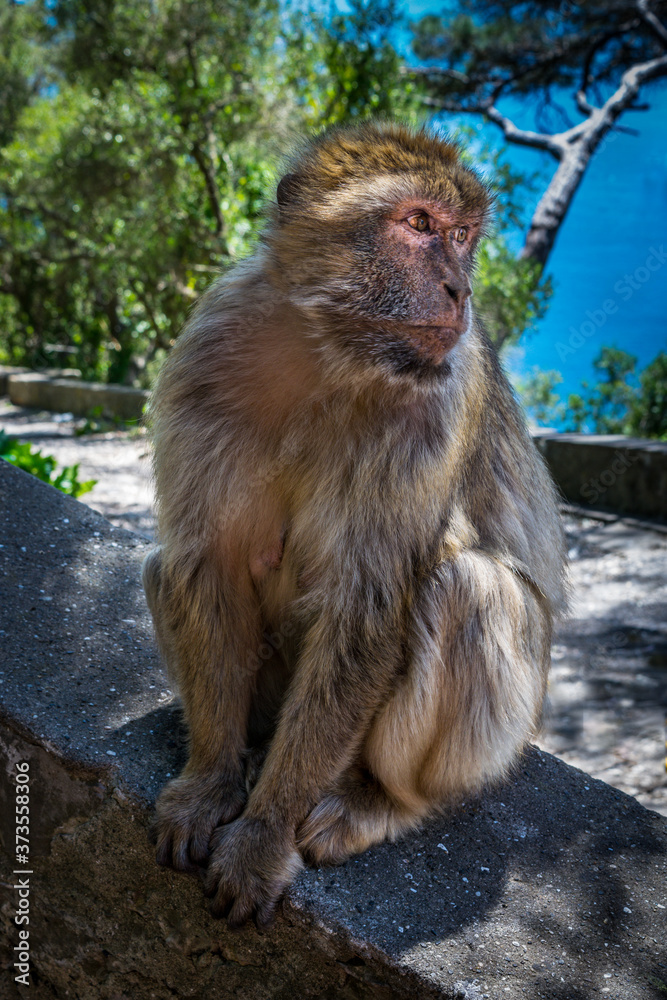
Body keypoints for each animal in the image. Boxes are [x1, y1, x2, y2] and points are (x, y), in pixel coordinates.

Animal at [142, 121, 567, 929]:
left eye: (461, 236)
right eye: (419, 224)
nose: (460, 290)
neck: (329, 353)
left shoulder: (437, 401)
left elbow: (366, 607)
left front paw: (263, 834)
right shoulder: (208, 348)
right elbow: (208, 559)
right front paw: (209, 782)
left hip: (498, 740)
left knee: (463, 587)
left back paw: (382, 801)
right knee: (164, 565)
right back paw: (245, 753)